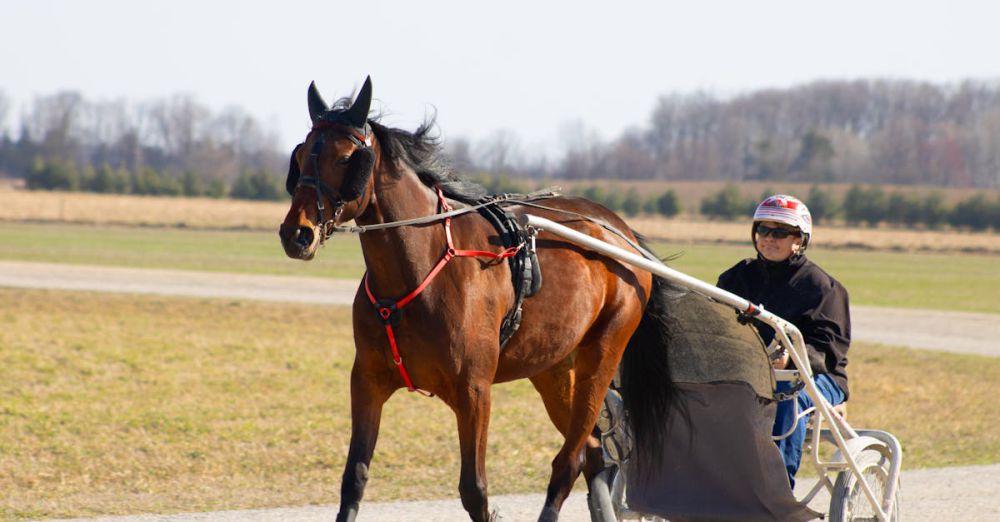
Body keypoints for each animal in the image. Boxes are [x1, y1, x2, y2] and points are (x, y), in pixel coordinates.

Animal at [278, 77, 676, 520]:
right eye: (301, 154)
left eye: (346, 157)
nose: (297, 233)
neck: (417, 272)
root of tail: (618, 230)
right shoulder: (367, 381)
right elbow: (355, 479)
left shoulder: (474, 391)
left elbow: (474, 490)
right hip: (553, 366)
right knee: (590, 454)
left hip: (603, 354)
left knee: (570, 459)